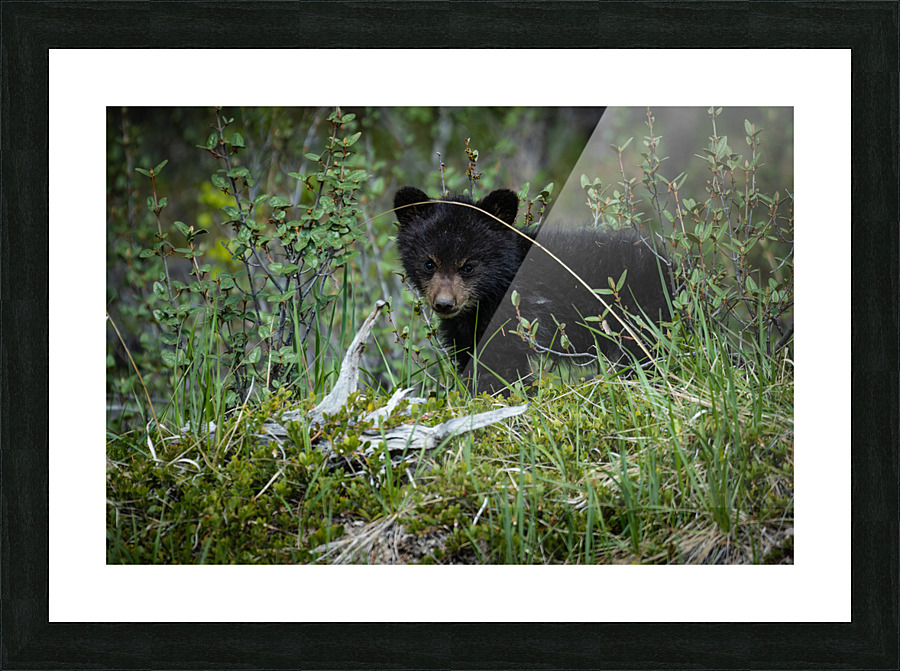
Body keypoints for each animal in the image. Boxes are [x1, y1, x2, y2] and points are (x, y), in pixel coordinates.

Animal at [394, 186, 672, 394]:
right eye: (429, 263)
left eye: (469, 266)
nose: (444, 303)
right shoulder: (465, 331)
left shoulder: (516, 318)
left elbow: (500, 367)